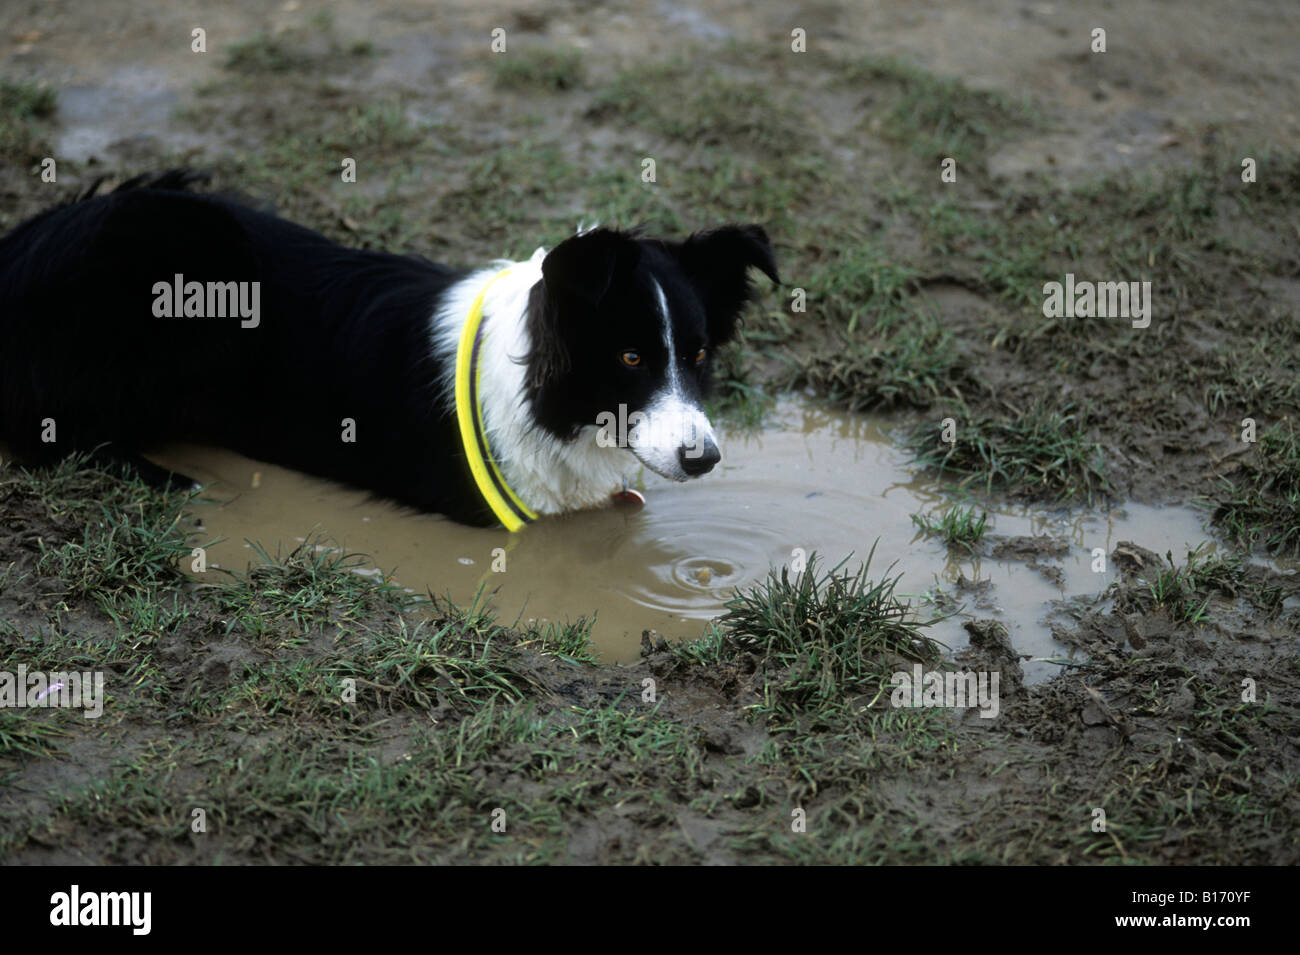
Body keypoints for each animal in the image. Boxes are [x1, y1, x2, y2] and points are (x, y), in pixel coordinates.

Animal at [0, 174, 774, 530]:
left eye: (698, 356)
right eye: (631, 359)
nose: (704, 459)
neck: (543, 399)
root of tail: (24, 245)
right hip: (192, 256)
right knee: (46, 430)